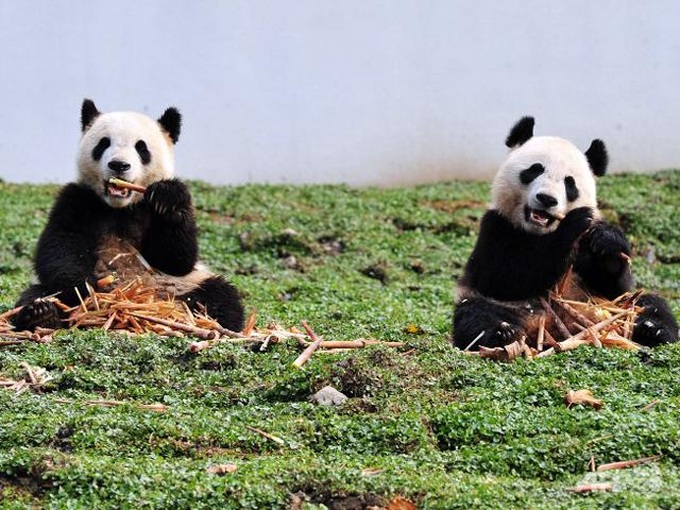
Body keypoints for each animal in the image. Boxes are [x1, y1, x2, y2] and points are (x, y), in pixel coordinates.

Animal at [13, 99, 244, 332]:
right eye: (104, 143)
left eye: (141, 147)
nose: (119, 165)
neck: (120, 208)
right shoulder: (78, 199)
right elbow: (61, 246)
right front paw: (86, 291)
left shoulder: (150, 210)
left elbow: (177, 259)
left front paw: (167, 198)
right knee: (37, 294)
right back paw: (42, 314)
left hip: (184, 284)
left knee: (222, 296)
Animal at [453, 116, 678, 351]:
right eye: (535, 169)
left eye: (569, 182)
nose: (547, 199)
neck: (540, 233)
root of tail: (554, 327)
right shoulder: (496, 226)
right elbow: (503, 277)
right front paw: (573, 223)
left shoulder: (594, 266)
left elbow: (615, 285)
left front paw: (607, 240)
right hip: (503, 306)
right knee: (475, 313)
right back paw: (502, 333)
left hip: (612, 304)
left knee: (650, 303)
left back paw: (653, 329)